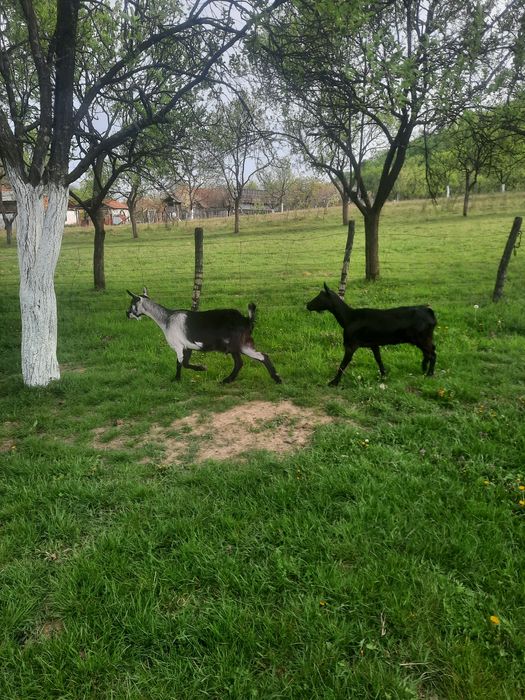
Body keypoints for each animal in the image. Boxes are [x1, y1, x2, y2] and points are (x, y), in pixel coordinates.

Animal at [126, 288, 282, 384]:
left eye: (132, 303)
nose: (127, 314)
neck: (166, 319)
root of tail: (246, 319)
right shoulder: (188, 346)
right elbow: (186, 363)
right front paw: (200, 368)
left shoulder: (178, 346)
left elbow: (179, 363)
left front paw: (177, 379)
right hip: (244, 344)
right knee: (262, 356)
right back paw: (277, 379)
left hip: (234, 345)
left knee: (239, 362)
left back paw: (226, 380)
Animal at [306, 283, 437, 385]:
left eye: (319, 298)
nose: (307, 305)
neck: (349, 318)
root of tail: (429, 312)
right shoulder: (374, 343)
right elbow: (378, 359)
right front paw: (383, 375)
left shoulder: (351, 344)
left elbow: (343, 364)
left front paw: (334, 382)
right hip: (424, 338)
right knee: (429, 352)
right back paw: (424, 368)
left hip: (421, 338)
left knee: (432, 354)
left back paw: (429, 374)